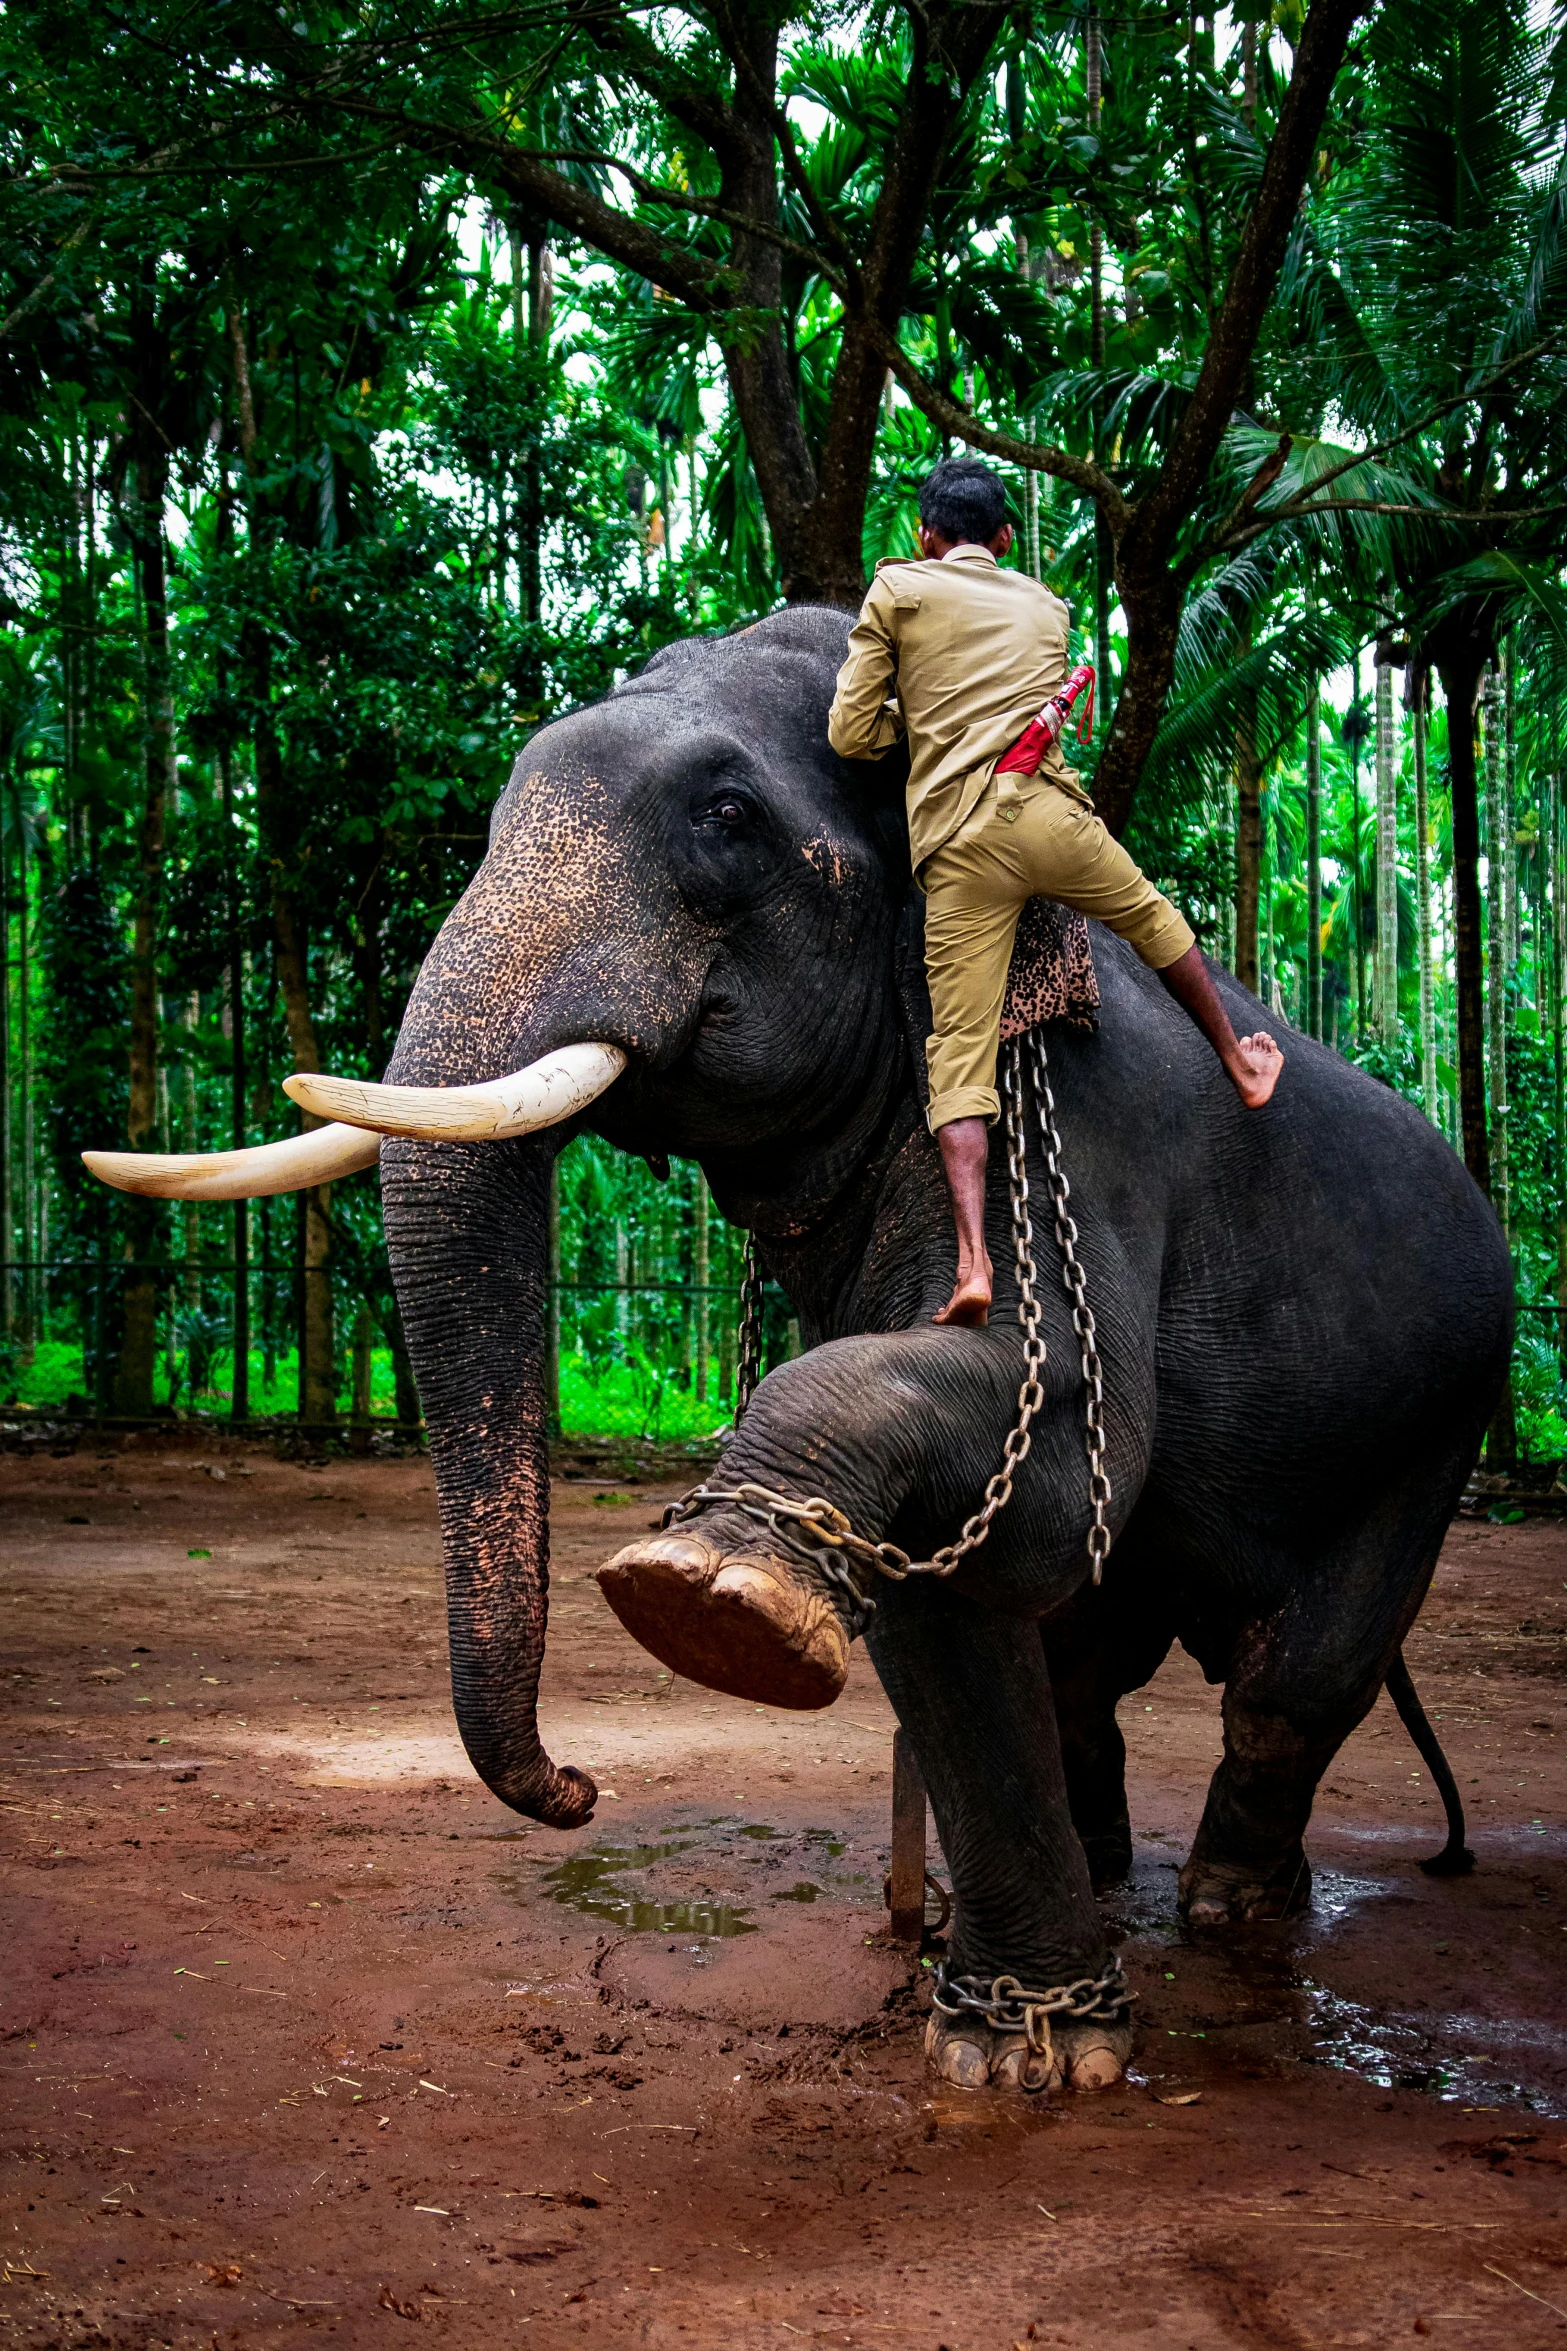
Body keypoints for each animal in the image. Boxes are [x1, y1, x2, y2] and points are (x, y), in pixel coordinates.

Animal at [92, 606, 1512, 2097]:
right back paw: (1129, 1881)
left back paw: (1234, 1908)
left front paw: (705, 1591)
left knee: (1292, 1678)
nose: (578, 1788)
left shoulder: (1071, 1103)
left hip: (1437, 1414)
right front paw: (1012, 2044)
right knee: (1091, 1660)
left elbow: (1062, 1453)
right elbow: (958, 1580)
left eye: (724, 816)